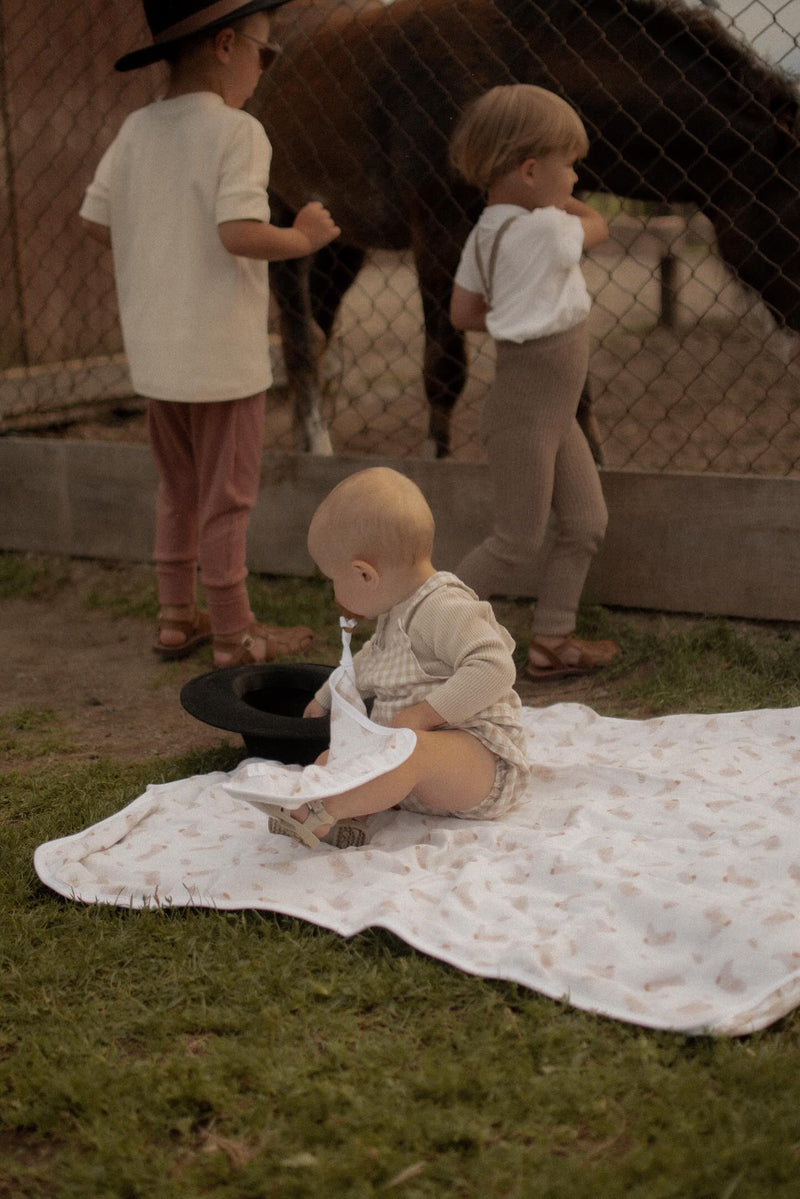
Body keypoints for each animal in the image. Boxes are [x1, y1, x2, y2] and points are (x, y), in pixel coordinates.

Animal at [255, 0, 800, 455]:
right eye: (795, 210)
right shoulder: (438, 237)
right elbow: (444, 373)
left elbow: (574, 387)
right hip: (280, 217)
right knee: (301, 344)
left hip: (342, 245)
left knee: (316, 335)